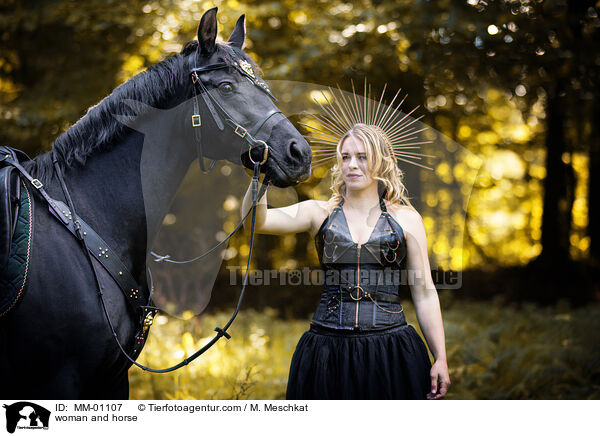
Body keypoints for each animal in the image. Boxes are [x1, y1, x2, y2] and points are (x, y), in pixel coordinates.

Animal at [0, 8, 310, 400]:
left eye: (264, 86)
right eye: (226, 87)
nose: (300, 153)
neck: (87, 215)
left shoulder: (112, 379)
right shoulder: (60, 379)